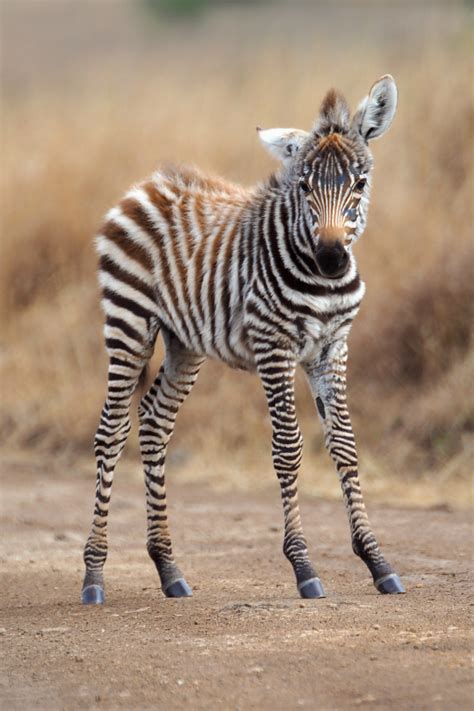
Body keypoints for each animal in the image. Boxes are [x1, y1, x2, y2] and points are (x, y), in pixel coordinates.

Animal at [81, 75, 404, 604]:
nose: (332, 258)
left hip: (185, 344)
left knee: (153, 422)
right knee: (111, 432)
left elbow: (345, 443)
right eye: (304, 185)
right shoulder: (274, 347)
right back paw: (93, 576)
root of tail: (148, 184)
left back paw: (169, 569)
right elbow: (288, 447)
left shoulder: (332, 349)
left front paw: (377, 561)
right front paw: (303, 566)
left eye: (359, 183)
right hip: (128, 322)